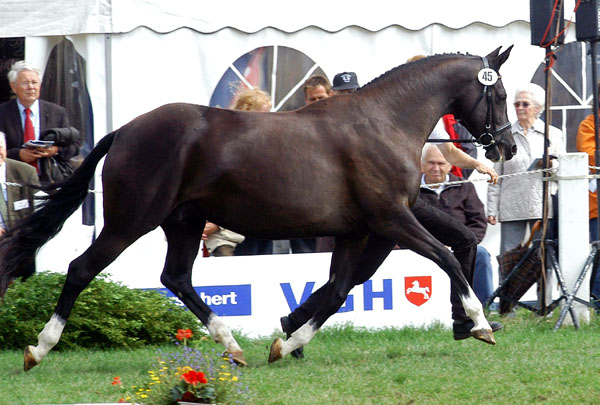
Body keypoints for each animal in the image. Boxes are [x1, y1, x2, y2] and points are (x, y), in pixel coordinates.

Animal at [0, 45, 516, 368]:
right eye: (500, 93)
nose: (507, 146)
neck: (382, 123)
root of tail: (125, 131)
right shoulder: (392, 219)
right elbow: (447, 256)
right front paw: (479, 323)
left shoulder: (357, 231)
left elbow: (337, 290)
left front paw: (285, 345)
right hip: (131, 221)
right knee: (81, 269)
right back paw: (38, 349)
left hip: (184, 222)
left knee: (176, 278)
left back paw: (233, 346)